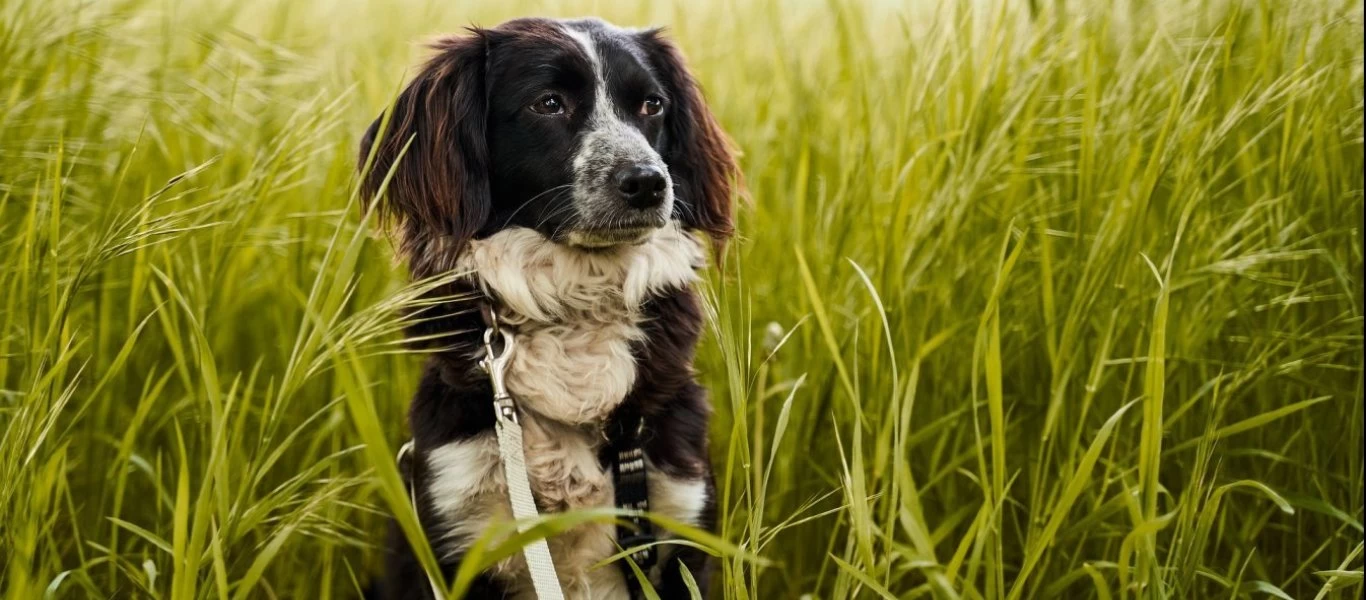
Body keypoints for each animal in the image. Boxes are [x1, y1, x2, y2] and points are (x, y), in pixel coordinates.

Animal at [352, 16, 737, 598]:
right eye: (548, 103)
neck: (576, 305)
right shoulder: (455, 526)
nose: (649, 182)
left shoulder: (679, 524)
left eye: (652, 105)